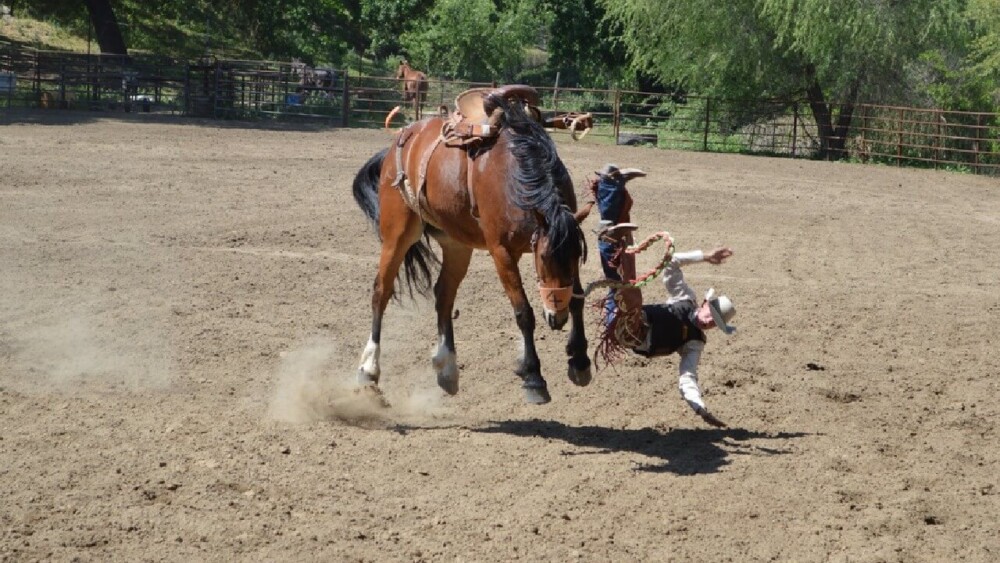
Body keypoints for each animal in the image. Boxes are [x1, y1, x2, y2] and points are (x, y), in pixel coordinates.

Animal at [352, 92, 588, 404]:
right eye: (544, 258)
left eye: (578, 256)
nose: (556, 317)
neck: (516, 173)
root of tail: (398, 143)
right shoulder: (501, 252)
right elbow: (524, 312)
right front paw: (533, 377)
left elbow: (577, 299)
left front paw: (580, 360)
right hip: (397, 234)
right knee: (381, 291)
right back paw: (368, 368)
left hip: (456, 244)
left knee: (443, 294)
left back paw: (446, 367)